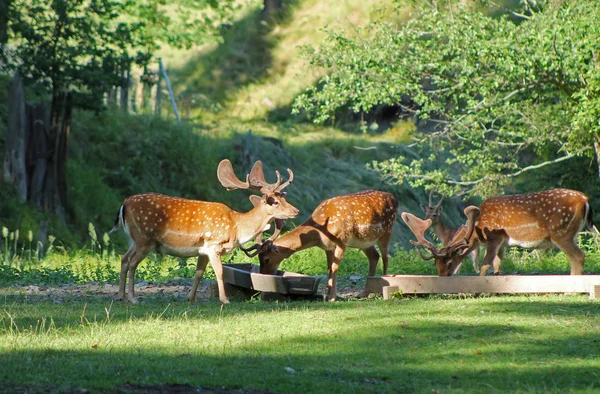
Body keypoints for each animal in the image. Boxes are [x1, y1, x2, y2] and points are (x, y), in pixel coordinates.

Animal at [110, 159, 298, 304]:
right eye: (275, 202)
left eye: (284, 198)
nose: (296, 211)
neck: (236, 227)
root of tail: (124, 204)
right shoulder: (214, 245)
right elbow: (220, 272)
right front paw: (225, 300)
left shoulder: (202, 250)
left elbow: (199, 273)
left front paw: (190, 299)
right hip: (144, 238)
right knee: (132, 263)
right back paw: (132, 298)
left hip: (134, 239)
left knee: (124, 259)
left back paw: (120, 296)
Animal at [241, 191, 400, 302]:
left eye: (266, 259)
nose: (263, 275)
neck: (320, 230)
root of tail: (394, 197)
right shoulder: (328, 247)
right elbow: (329, 268)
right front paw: (328, 295)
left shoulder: (342, 241)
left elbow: (334, 268)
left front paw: (332, 298)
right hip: (365, 241)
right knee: (374, 256)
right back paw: (363, 293)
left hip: (387, 230)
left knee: (385, 257)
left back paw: (382, 288)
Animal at [406, 189, 592, 276]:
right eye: (436, 264)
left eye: (450, 262)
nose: (442, 277)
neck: (477, 229)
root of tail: (585, 199)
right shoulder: (503, 242)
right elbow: (497, 265)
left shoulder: (494, 238)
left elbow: (485, 265)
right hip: (568, 234)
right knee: (574, 258)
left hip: (561, 232)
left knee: (578, 256)